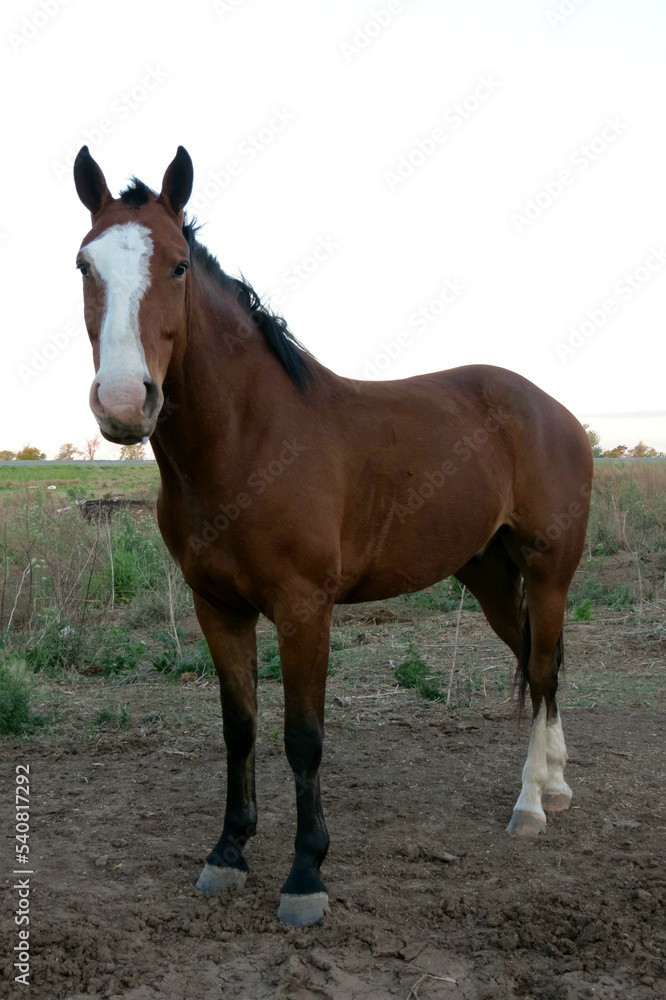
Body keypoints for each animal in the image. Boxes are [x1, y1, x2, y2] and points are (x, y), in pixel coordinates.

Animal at [72, 145, 592, 924]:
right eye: (84, 264)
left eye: (177, 266)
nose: (126, 402)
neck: (250, 441)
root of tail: (552, 410)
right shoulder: (216, 608)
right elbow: (240, 727)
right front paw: (228, 853)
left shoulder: (303, 609)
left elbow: (303, 737)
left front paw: (305, 875)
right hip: (492, 576)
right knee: (541, 667)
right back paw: (554, 786)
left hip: (550, 569)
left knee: (541, 668)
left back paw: (530, 803)